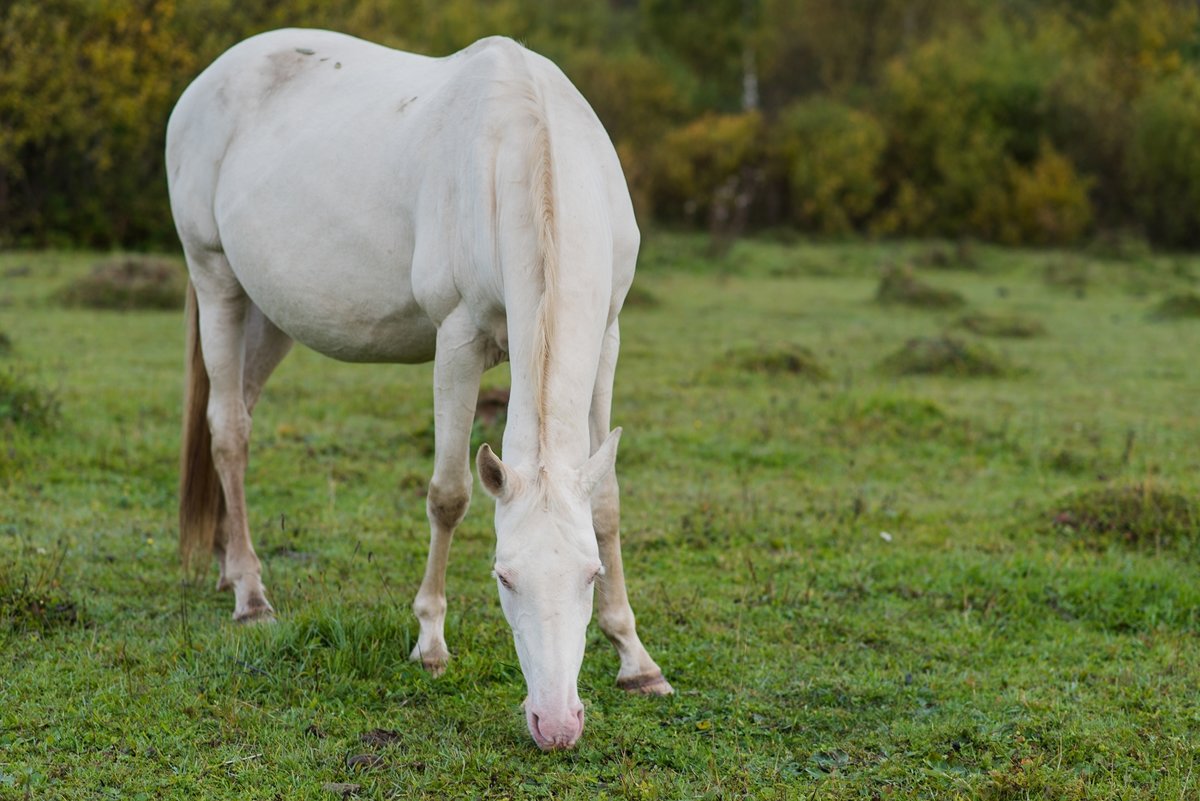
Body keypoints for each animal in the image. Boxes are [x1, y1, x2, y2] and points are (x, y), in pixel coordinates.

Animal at [168, 26, 672, 753]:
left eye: (590, 574)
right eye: (503, 576)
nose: (555, 724)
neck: (526, 147)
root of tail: (209, 79)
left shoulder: (606, 338)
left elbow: (605, 502)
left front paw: (636, 659)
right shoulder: (457, 340)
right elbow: (449, 494)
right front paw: (430, 641)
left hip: (269, 316)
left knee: (237, 412)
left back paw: (226, 562)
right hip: (217, 284)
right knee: (227, 431)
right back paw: (251, 596)